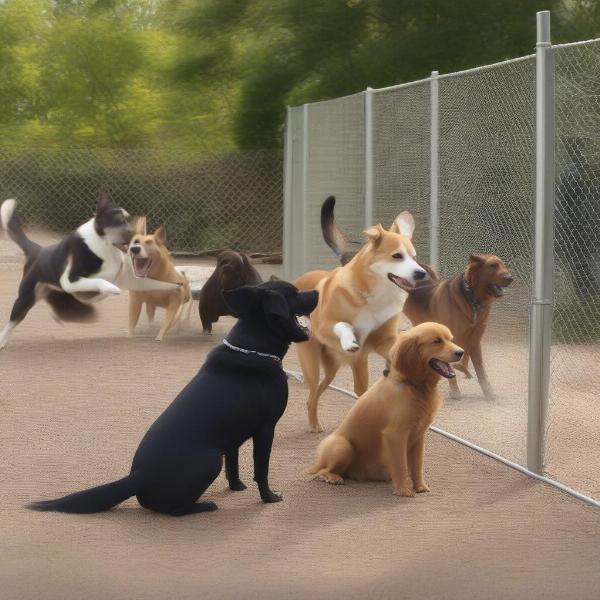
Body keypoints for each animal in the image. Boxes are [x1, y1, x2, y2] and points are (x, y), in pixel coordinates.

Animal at [28, 282, 318, 516]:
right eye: (294, 293)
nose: (317, 290)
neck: (253, 348)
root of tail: (136, 477)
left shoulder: (233, 438)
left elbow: (234, 465)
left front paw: (237, 487)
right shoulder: (266, 429)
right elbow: (262, 469)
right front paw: (269, 498)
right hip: (211, 458)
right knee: (173, 510)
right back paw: (204, 506)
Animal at [292, 199, 424, 434]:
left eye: (414, 257)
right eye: (397, 256)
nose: (421, 273)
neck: (374, 296)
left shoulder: (383, 339)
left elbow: (395, 344)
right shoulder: (325, 326)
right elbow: (343, 325)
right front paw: (349, 340)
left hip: (335, 368)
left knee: (348, 389)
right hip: (313, 364)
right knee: (313, 394)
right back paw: (314, 424)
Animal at [308, 324, 462, 496]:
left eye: (450, 339)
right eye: (436, 341)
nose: (461, 352)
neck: (413, 386)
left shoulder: (419, 435)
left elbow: (417, 466)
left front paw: (420, 486)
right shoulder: (396, 435)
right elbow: (401, 466)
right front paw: (403, 490)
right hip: (341, 445)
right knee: (321, 471)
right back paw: (332, 477)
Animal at [400, 253, 512, 398]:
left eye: (503, 264)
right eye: (492, 266)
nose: (510, 278)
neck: (472, 298)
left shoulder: (475, 339)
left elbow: (479, 369)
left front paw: (488, 392)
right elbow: (454, 364)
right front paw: (455, 390)